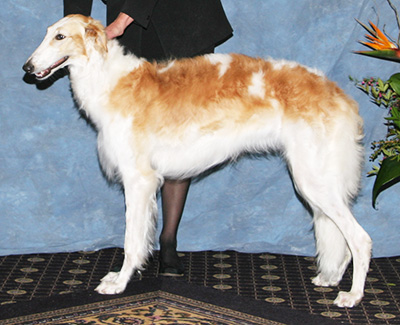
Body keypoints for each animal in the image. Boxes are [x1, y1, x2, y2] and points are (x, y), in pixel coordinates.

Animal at [22, 13, 372, 306]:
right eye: (48, 33)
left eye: (60, 37)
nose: (26, 68)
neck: (110, 79)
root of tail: (340, 96)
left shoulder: (139, 179)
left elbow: (131, 241)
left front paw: (119, 282)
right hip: (316, 179)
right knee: (341, 239)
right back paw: (330, 278)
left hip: (312, 178)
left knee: (360, 238)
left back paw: (352, 296)